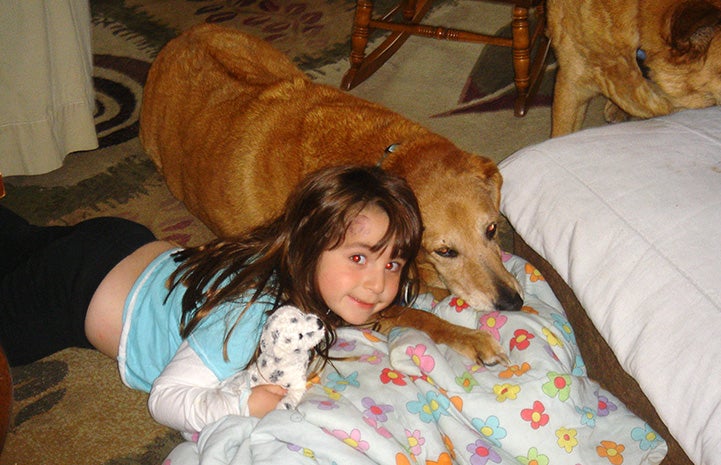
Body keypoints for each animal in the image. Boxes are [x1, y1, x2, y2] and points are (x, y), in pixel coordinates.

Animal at [139, 25, 524, 364]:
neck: (378, 168)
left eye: (492, 229)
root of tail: (182, 38)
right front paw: (469, 337)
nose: (513, 303)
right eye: (445, 250)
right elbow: (416, 315)